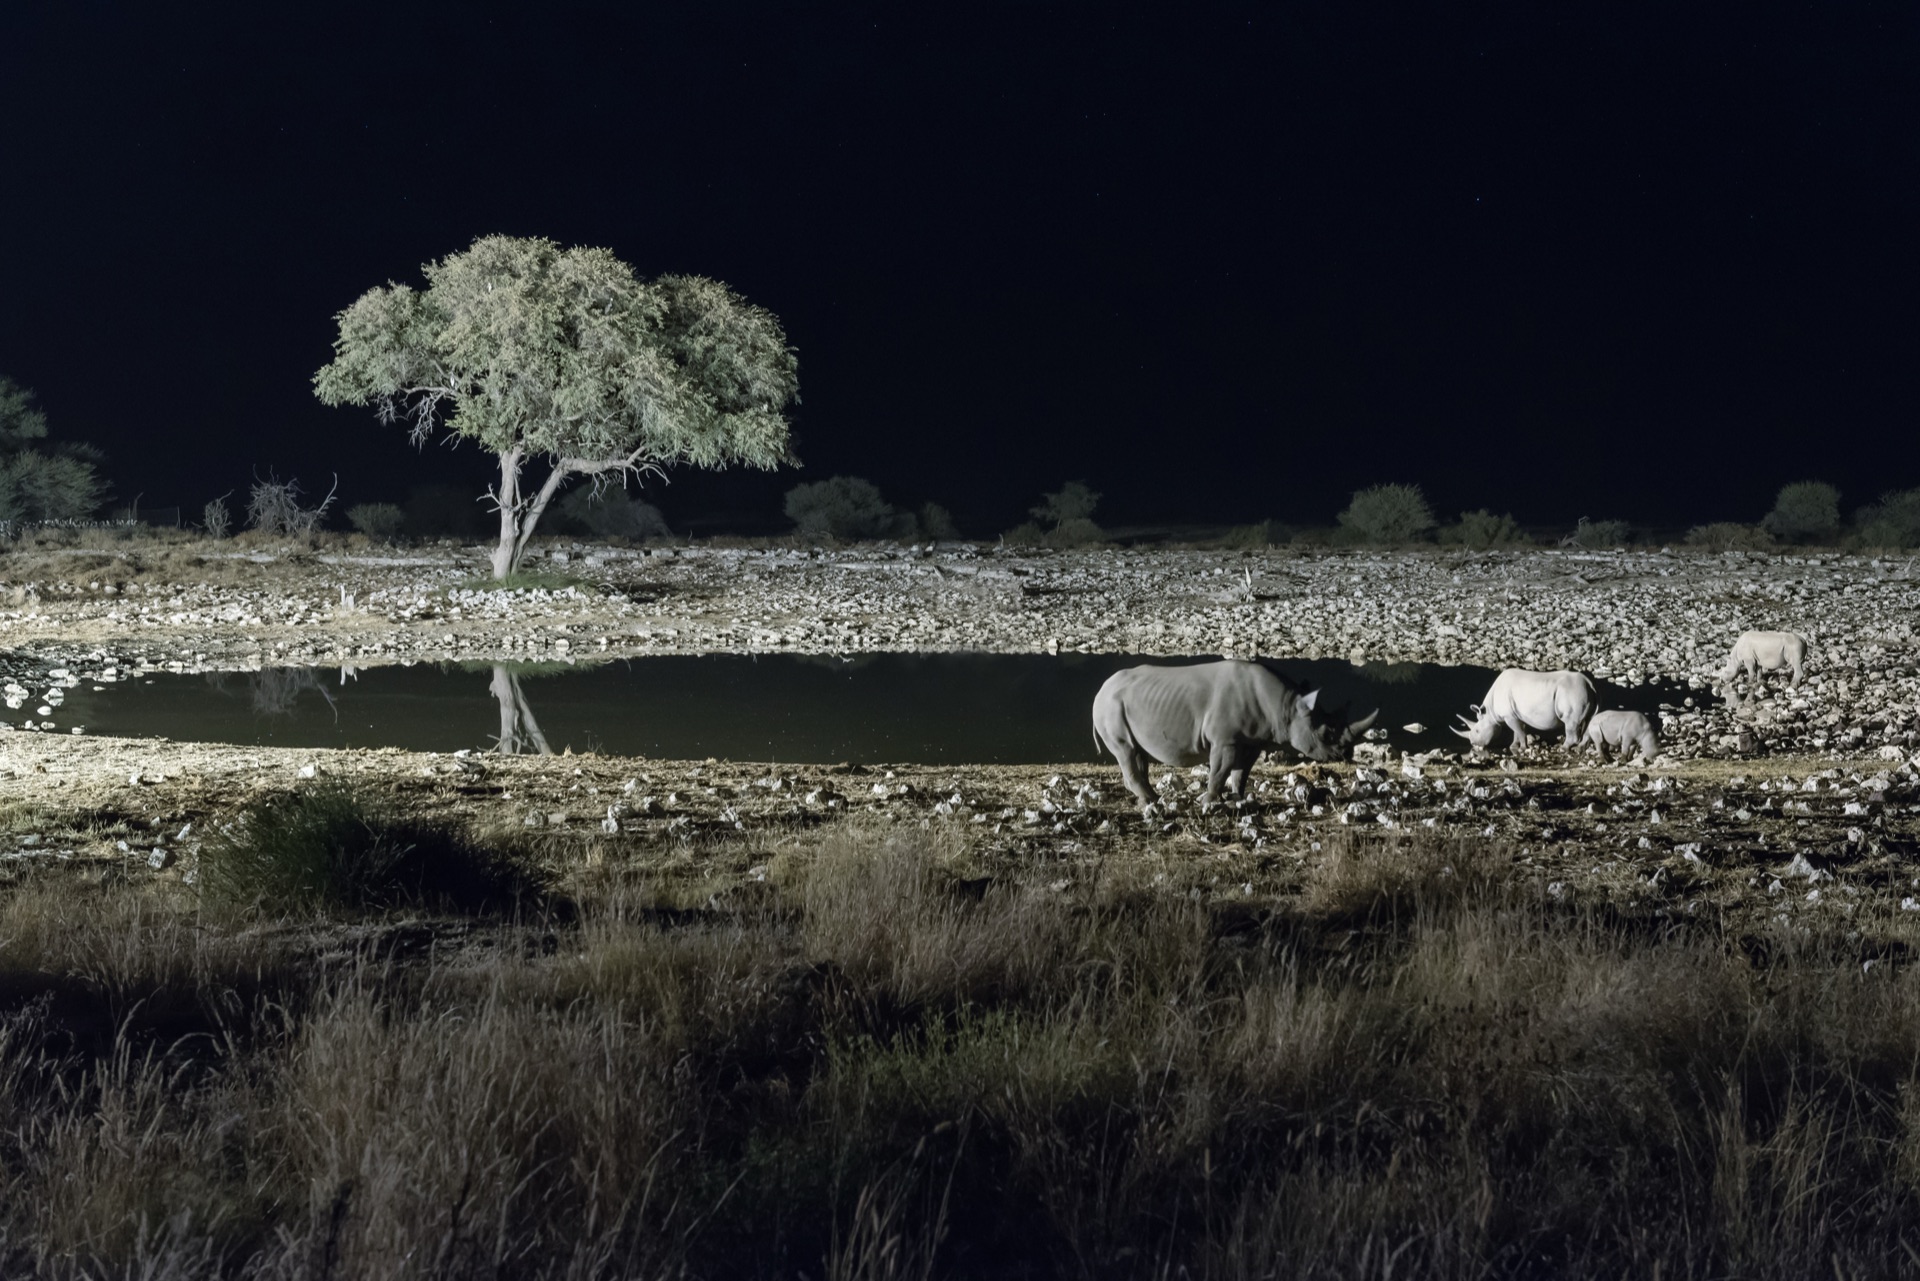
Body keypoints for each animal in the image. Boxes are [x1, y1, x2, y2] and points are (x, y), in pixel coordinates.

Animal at [1092, 660, 1377, 805]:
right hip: (1110, 707)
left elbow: (1241, 771)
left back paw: (1148, 799)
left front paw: (1237, 798)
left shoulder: (1253, 740)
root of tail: (1101, 689)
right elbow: (1220, 769)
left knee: (1137, 752)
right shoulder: (1225, 739)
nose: (1345, 755)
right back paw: (1153, 801)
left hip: (1121, 705)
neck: (1286, 705)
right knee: (1126, 750)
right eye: (1327, 733)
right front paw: (1209, 802)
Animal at [1452, 669, 1597, 753]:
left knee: (1570, 722)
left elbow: (1519, 731)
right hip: (1580, 691)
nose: (1473, 744)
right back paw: (1579, 748)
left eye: (1477, 731)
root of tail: (1589, 683)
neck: (1490, 712)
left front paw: (1522, 748)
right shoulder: (1516, 714)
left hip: (1572, 692)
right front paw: (1513, 746)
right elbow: (1518, 731)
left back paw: (1564, 748)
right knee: (1589, 721)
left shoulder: (1509, 715)